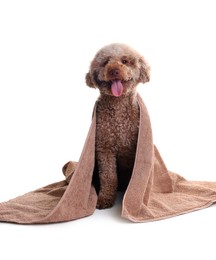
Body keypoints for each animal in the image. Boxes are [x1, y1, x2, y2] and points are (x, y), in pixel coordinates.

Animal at [85, 43, 149, 209]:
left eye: (125, 61)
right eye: (105, 62)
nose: (114, 70)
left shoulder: (135, 148)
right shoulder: (104, 149)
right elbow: (109, 177)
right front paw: (105, 199)